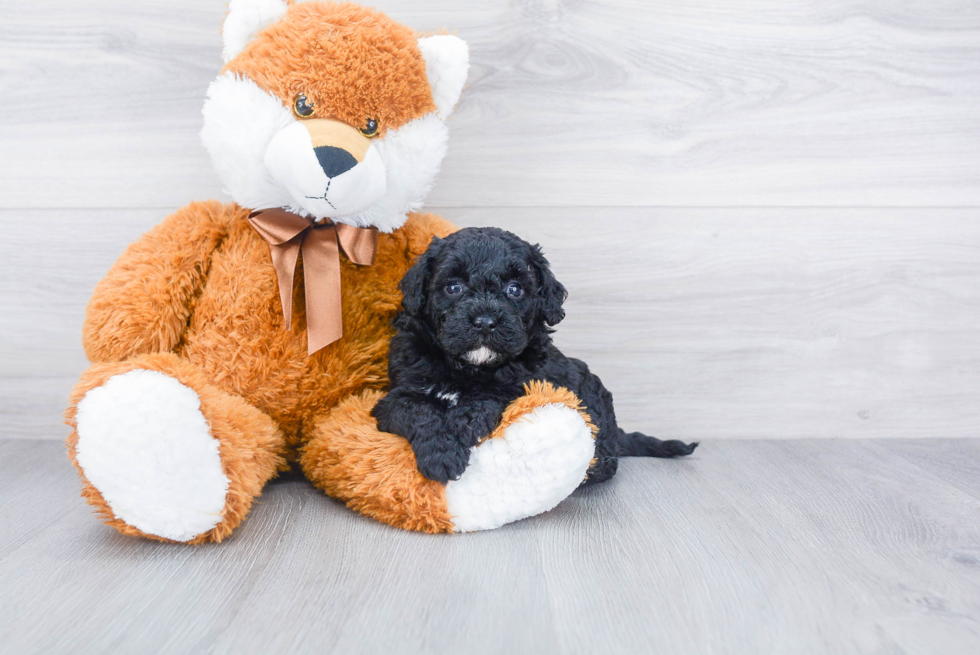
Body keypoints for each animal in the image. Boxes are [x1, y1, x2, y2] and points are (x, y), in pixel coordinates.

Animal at [370, 228, 696, 484]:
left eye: (514, 289)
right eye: (454, 287)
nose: (485, 321)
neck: (469, 367)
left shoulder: (528, 382)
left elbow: (488, 398)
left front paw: (461, 428)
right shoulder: (396, 395)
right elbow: (419, 409)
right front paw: (441, 454)